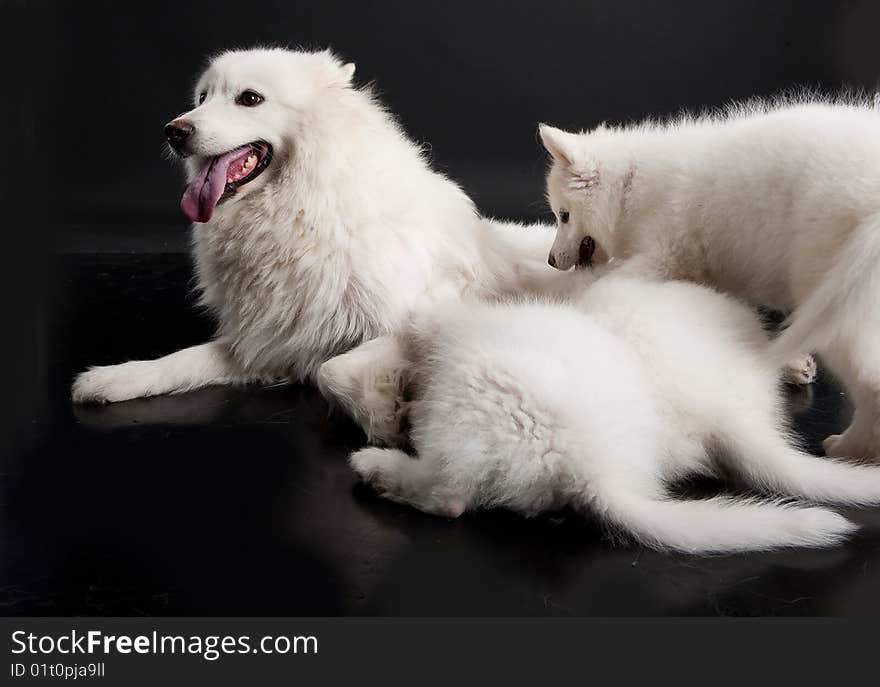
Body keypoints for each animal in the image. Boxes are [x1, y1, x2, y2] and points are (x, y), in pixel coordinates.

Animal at [72, 51, 560, 406]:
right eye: (202, 98)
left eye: (250, 99)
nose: (174, 131)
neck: (302, 210)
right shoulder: (271, 339)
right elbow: (183, 359)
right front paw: (114, 378)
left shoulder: (411, 322)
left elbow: (333, 371)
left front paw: (384, 416)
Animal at [540, 97, 880, 460]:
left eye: (564, 216)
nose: (550, 260)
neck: (630, 189)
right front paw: (790, 363)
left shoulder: (662, 259)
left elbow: (599, 287)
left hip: (834, 297)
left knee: (869, 384)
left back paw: (849, 446)